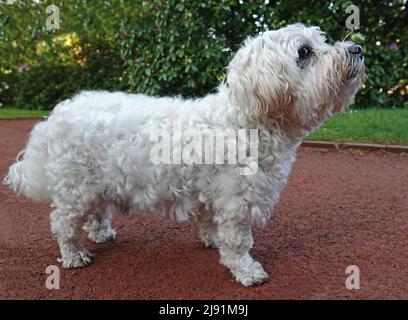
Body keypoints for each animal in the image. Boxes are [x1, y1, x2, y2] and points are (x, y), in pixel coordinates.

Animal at [4, 23, 364, 286]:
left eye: (322, 40)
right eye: (304, 52)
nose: (358, 48)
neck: (247, 119)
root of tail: (55, 116)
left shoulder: (213, 193)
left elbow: (210, 222)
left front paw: (211, 240)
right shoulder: (236, 201)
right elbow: (238, 241)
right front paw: (246, 270)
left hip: (99, 181)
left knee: (97, 212)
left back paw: (101, 233)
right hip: (75, 186)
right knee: (63, 222)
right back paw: (74, 255)